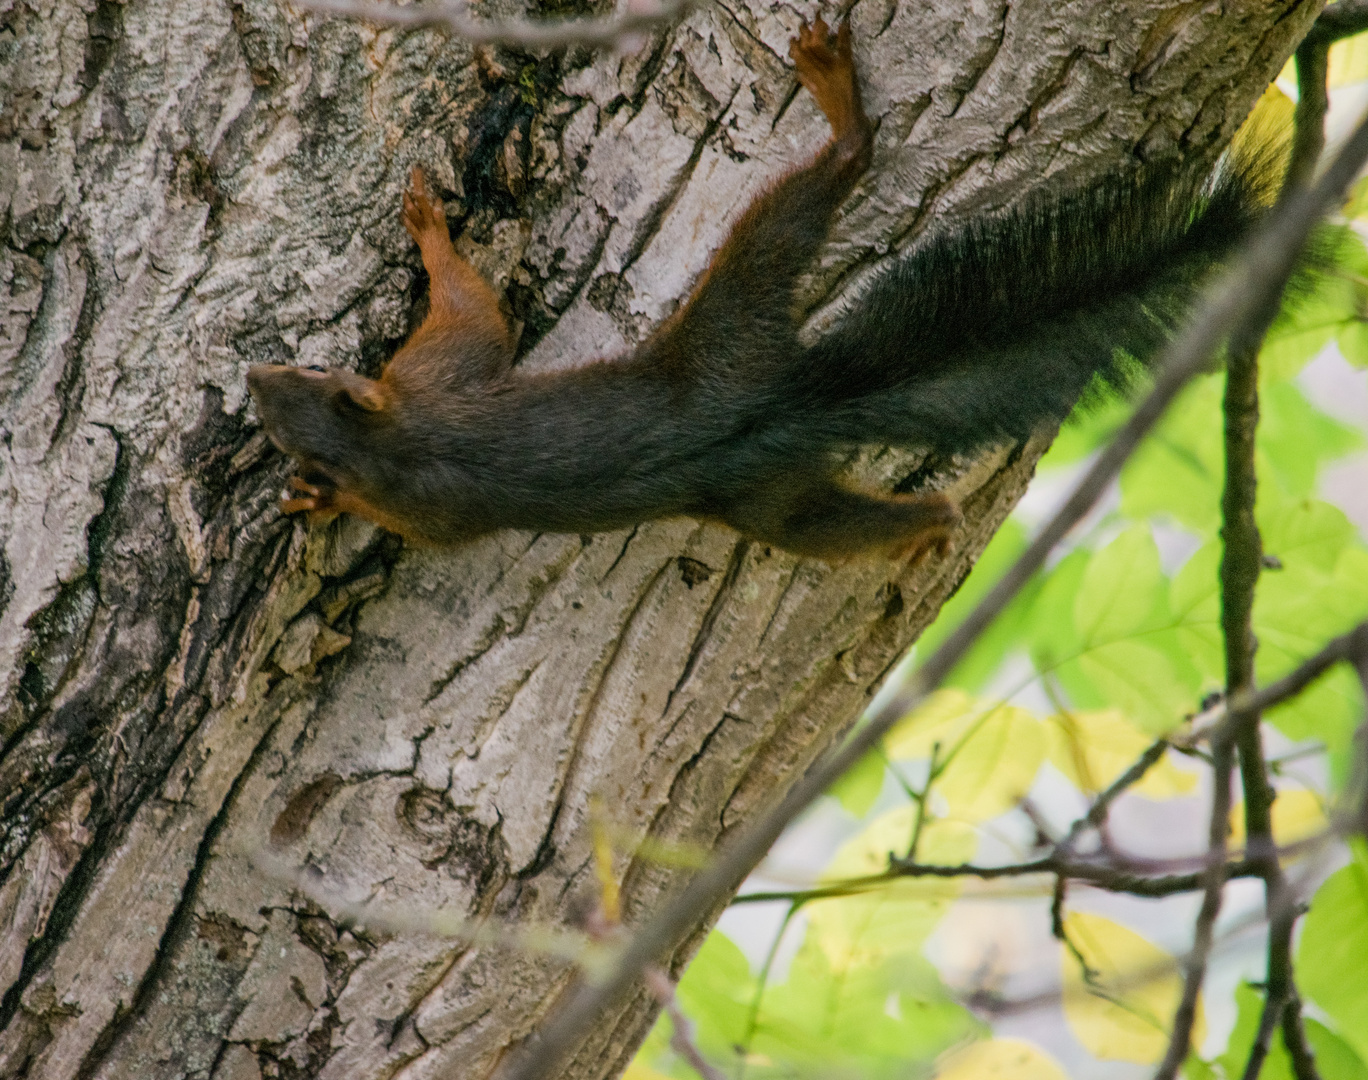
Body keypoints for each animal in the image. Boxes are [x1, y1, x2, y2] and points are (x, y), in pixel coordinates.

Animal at [248, 16, 1269, 561]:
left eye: (308, 376)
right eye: (283, 404)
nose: (253, 377)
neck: (393, 443)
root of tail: (779, 405)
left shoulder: (436, 380)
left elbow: (476, 314)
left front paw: (427, 224)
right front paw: (318, 502)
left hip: (731, 328)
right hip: (767, 464)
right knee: (839, 516)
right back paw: (929, 523)